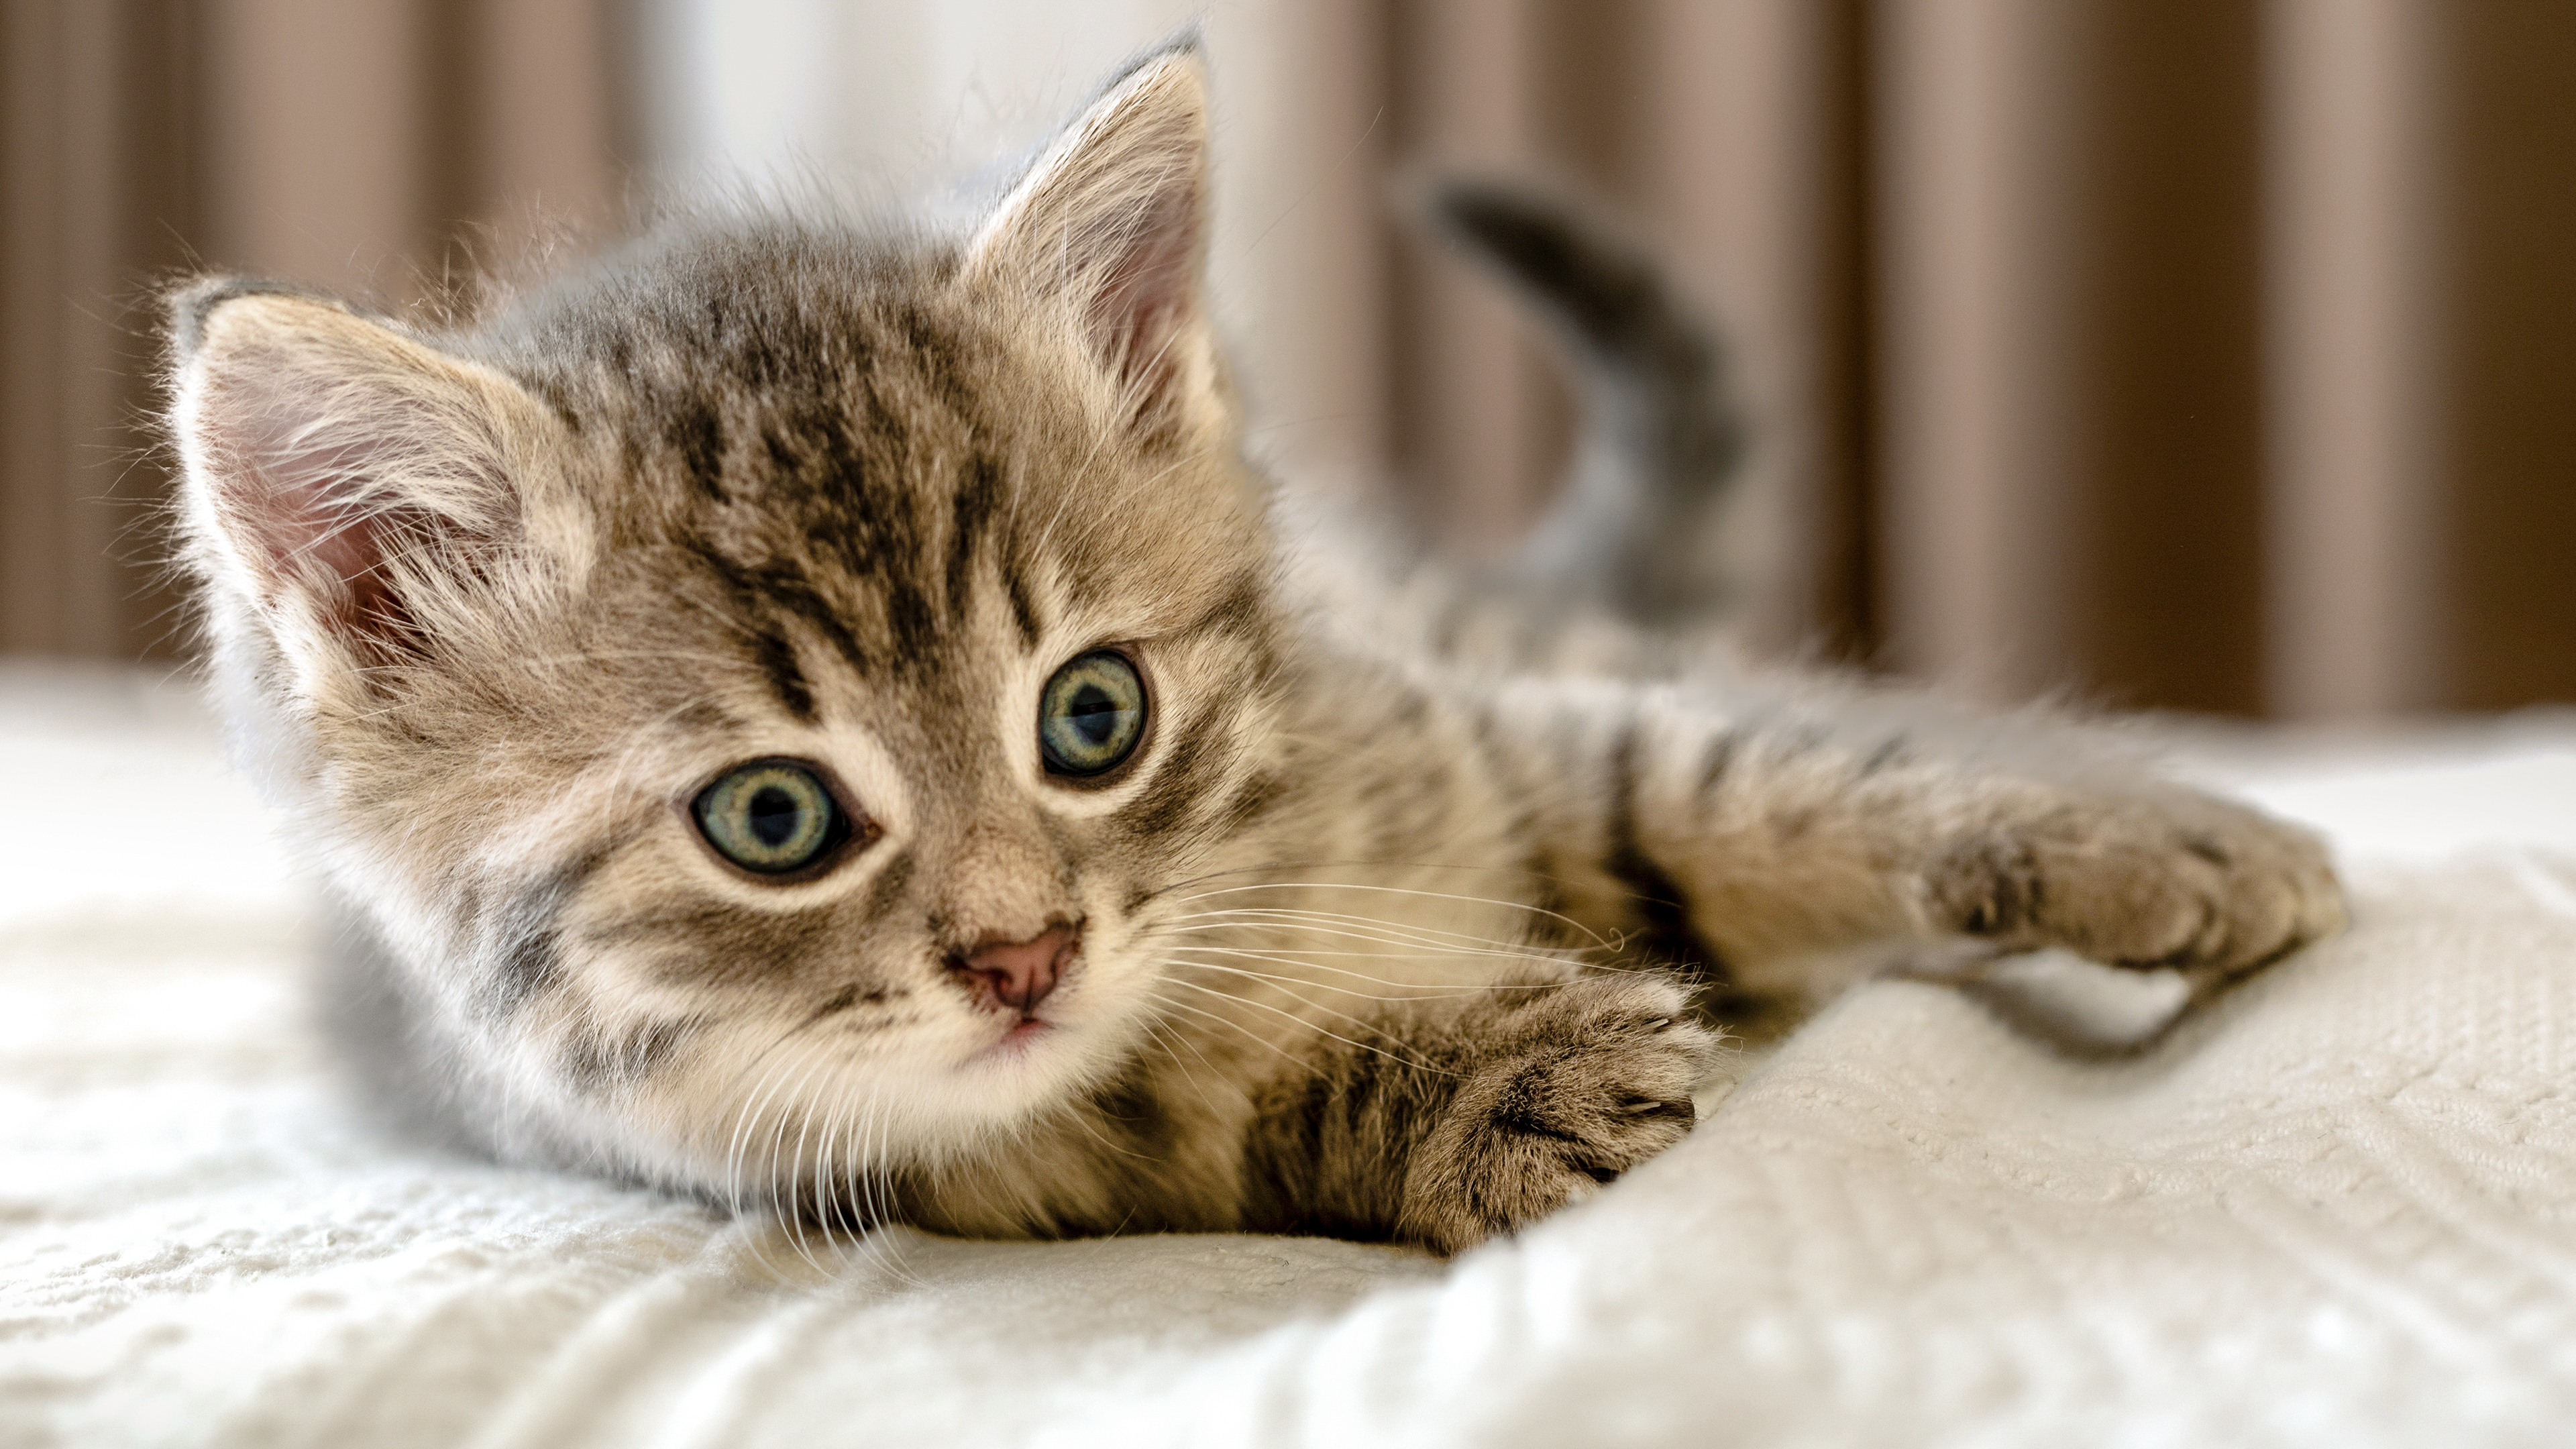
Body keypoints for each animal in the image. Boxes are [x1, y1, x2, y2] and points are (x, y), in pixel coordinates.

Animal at [156, 39, 2339, 1248]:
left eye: (1091, 715)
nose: (1022, 954)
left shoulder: (1470, 727)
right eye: (772, 822)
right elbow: (1218, 1119)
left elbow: (1737, 767)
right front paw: (1486, 1081)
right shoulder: (926, 1166)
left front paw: (2149, 839)